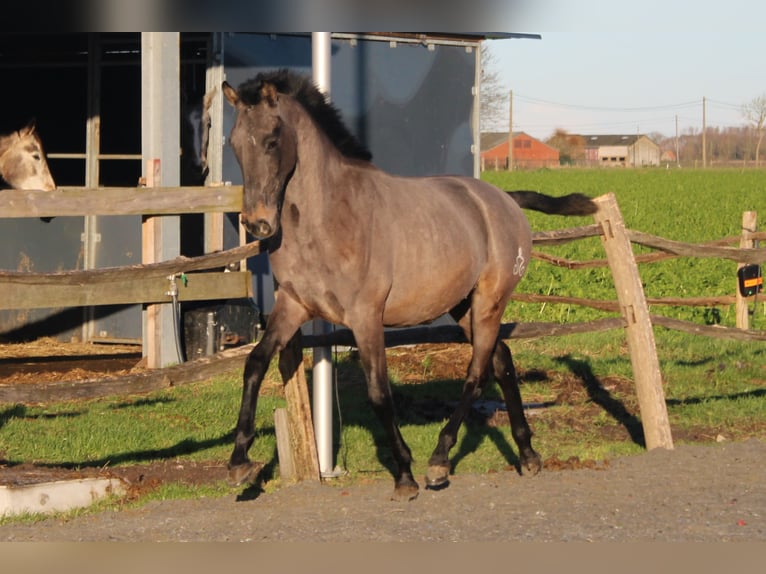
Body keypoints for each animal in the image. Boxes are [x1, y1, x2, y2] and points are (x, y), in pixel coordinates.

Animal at [222, 71, 592, 504]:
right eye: (234, 143)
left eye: (272, 140)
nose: (258, 223)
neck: (328, 216)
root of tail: (503, 199)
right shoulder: (293, 305)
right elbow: (255, 363)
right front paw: (239, 463)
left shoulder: (366, 317)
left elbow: (379, 393)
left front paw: (404, 475)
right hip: (463, 306)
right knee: (501, 359)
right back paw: (528, 454)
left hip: (489, 300)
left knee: (477, 371)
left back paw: (439, 461)